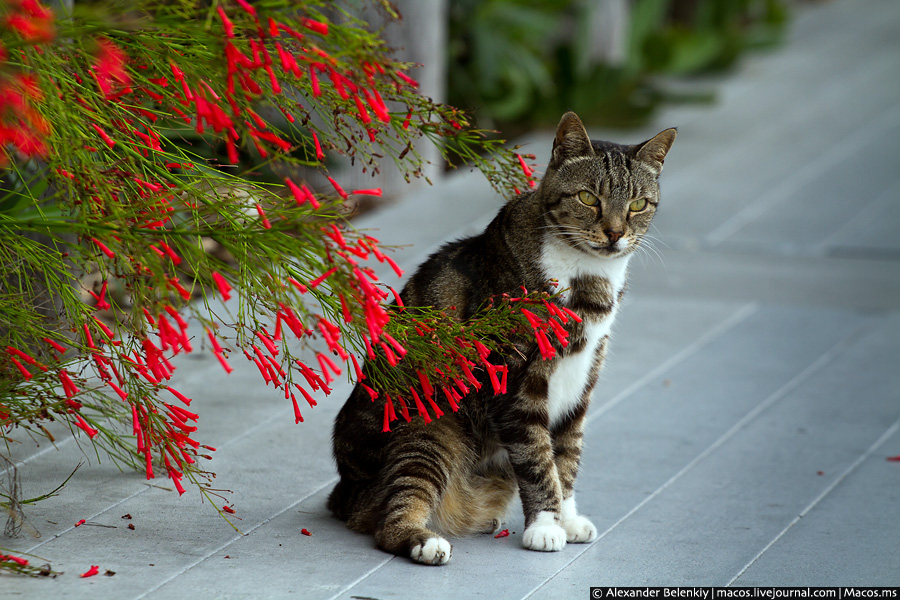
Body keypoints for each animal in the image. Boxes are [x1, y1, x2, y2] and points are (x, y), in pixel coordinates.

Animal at [328, 111, 676, 564]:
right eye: (588, 198)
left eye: (637, 204)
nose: (615, 233)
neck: (586, 277)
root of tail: (344, 492)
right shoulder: (517, 380)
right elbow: (537, 457)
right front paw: (545, 527)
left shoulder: (582, 379)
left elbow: (566, 455)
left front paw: (567, 518)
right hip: (429, 429)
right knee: (392, 517)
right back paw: (425, 540)